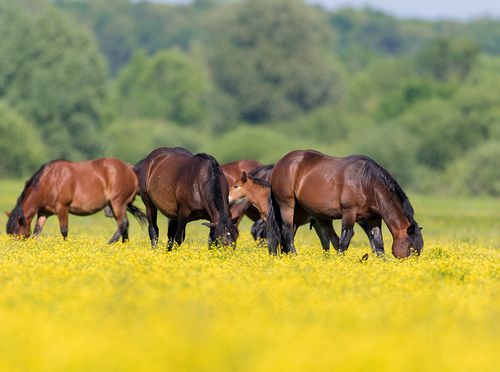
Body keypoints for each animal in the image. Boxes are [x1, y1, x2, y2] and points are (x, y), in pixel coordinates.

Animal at [5, 158, 146, 243]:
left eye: (17, 235)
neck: (50, 181)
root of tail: (130, 169)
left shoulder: (62, 208)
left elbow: (64, 231)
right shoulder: (44, 212)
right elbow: (36, 231)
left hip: (117, 203)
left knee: (122, 223)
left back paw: (110, 243)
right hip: (114, 205)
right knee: (125, 224)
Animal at [266, 150, 422, 258]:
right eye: (412, 249)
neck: (368, 183)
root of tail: (280, 163)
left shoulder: (374, 218)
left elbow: (379, 244)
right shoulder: (349, 213)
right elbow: (344, 241)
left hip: (299, 212)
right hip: (287, 206)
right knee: (287, 232)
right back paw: (294, 256)